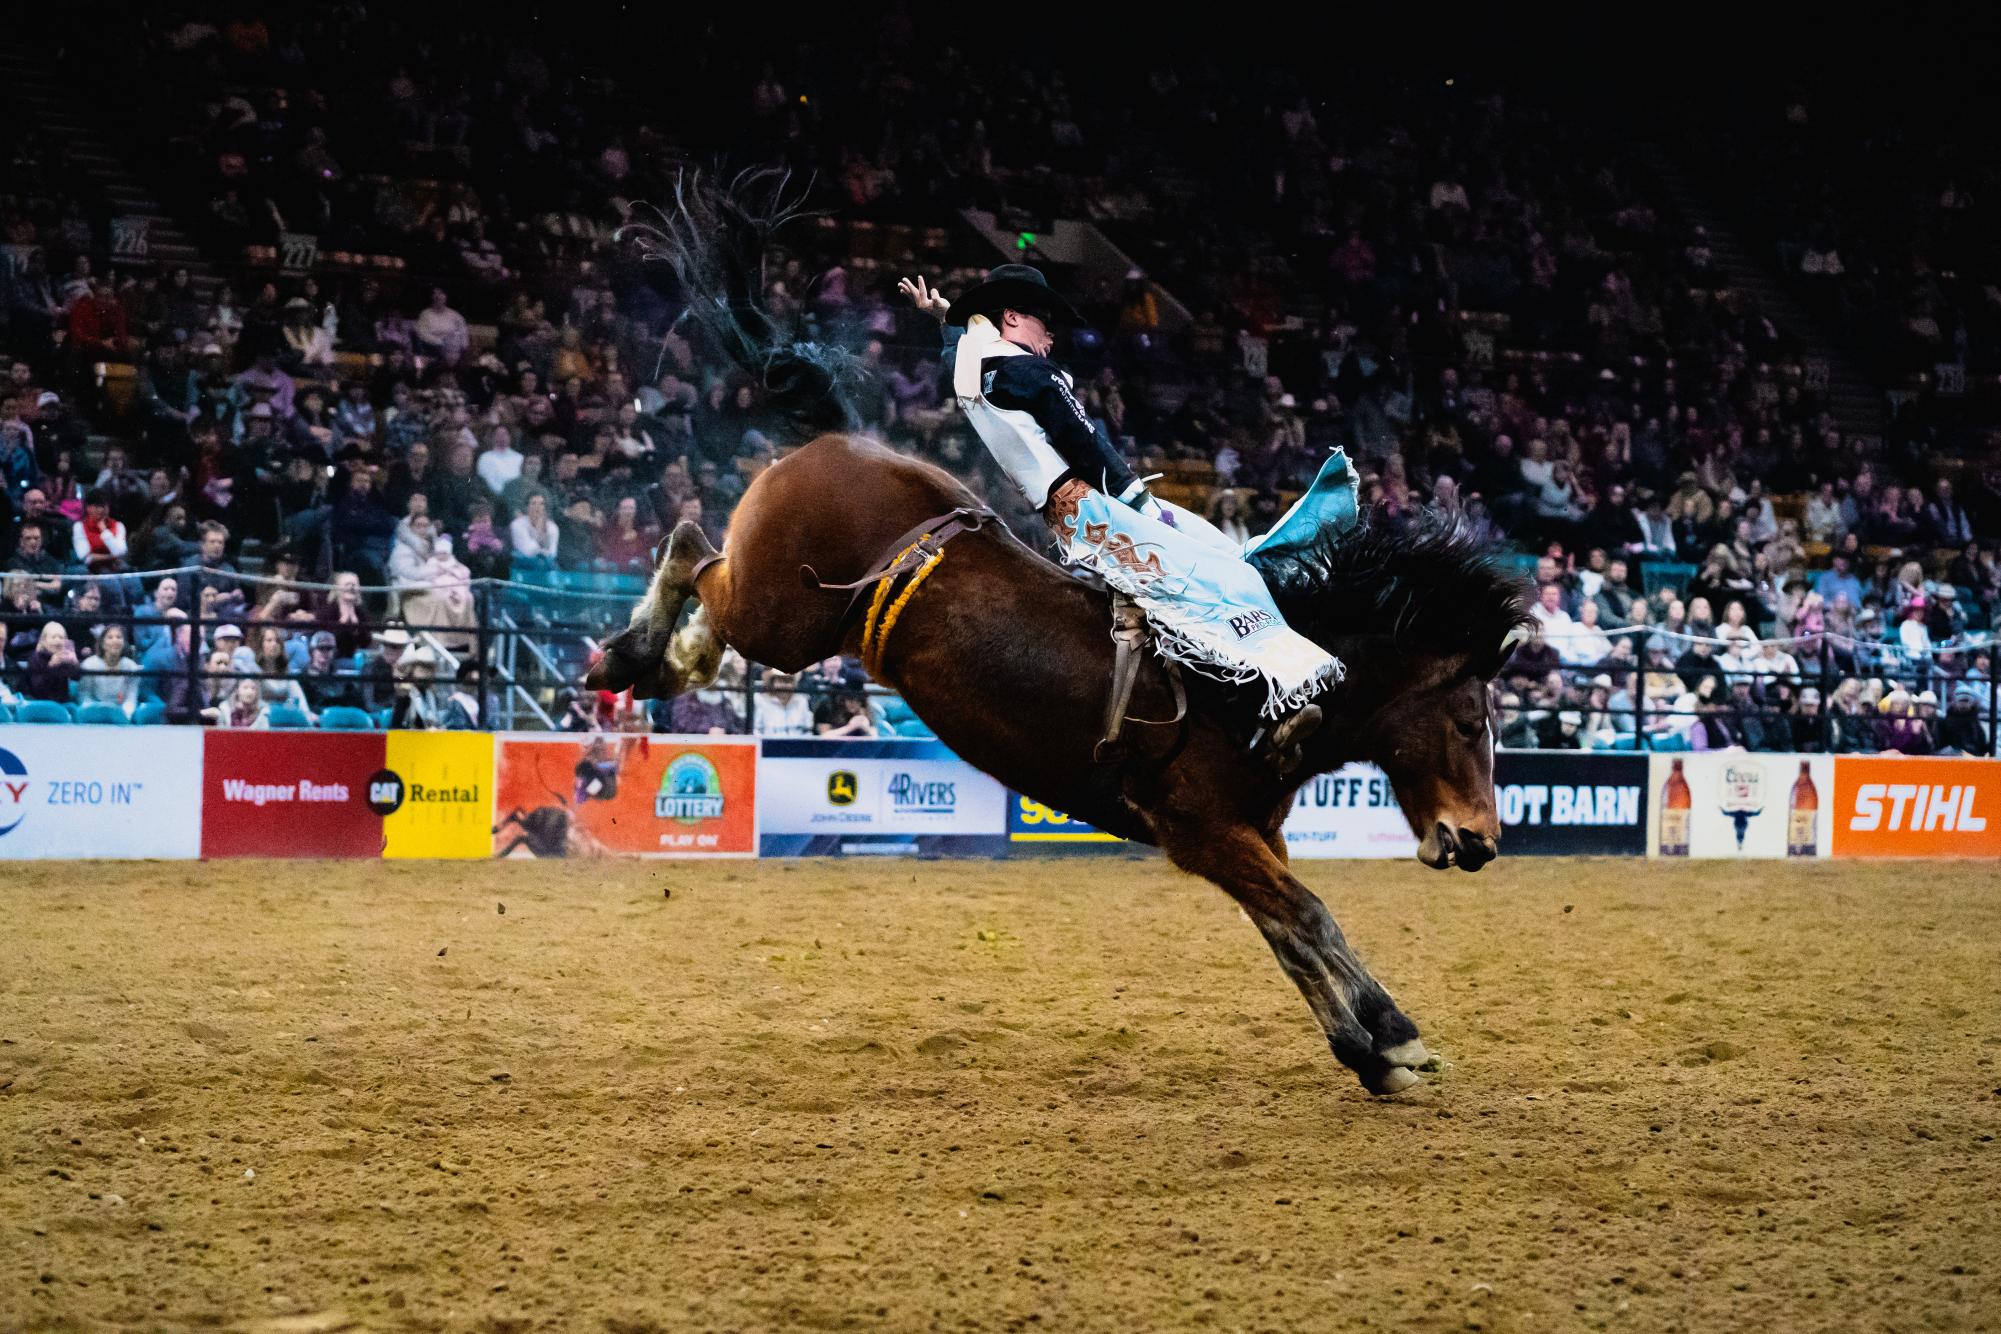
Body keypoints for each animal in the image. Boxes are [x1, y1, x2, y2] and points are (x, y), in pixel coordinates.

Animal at [588, 177, 1528, 1096]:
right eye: (1469, 722)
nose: (1481, 842)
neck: (1243, 699)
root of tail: (835, 440)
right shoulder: (1202, 829)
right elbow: (1307, 916)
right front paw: (1395, 1039)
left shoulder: (1253, 835)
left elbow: (1288, 934)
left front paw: (1367, 1047)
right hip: (779, 616)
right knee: (688, 546)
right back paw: (625, 654)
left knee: (702, 589)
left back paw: (658, 664)